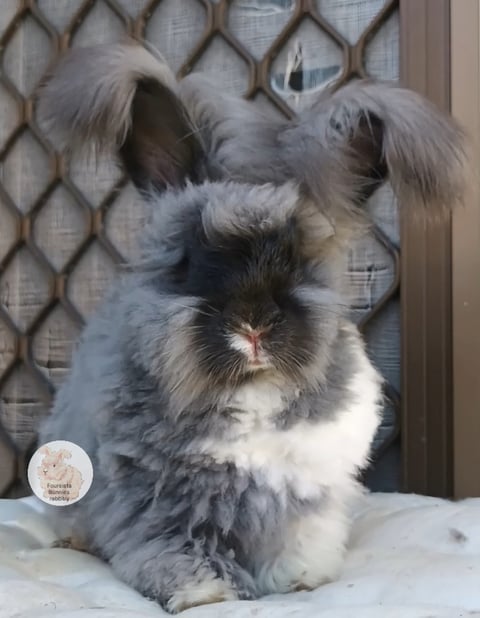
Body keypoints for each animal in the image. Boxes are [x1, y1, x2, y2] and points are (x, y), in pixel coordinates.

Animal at [37, 42, 464, 612]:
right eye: (191, 262)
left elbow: (294, 544)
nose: (254, 326)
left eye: (299, 261)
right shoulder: (156, 499)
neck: (252, 391)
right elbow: (174, 547)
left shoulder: (301, 494)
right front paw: (205, 593)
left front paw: (298, 583)